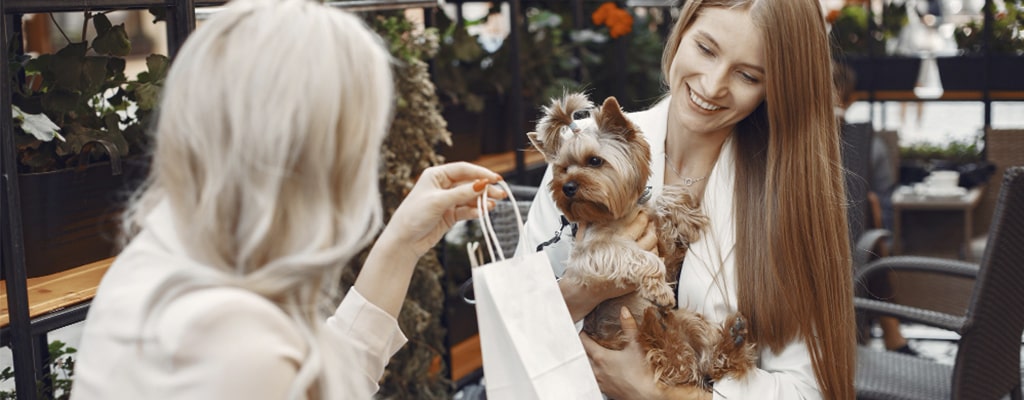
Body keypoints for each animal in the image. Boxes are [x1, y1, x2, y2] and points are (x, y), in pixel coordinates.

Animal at [528, 92, 761, 390]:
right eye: (562, 169)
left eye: (595, 161)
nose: (567, 187)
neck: (614, 214)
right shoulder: (591, 254)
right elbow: (638, 256)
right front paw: (659, 289)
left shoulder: (659, 242)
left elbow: (663, 209)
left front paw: (685, 215)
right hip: (625, 338)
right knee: (675, 362)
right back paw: (658, 326)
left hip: (688, 321)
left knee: (700, 362)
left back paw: (731, 339)